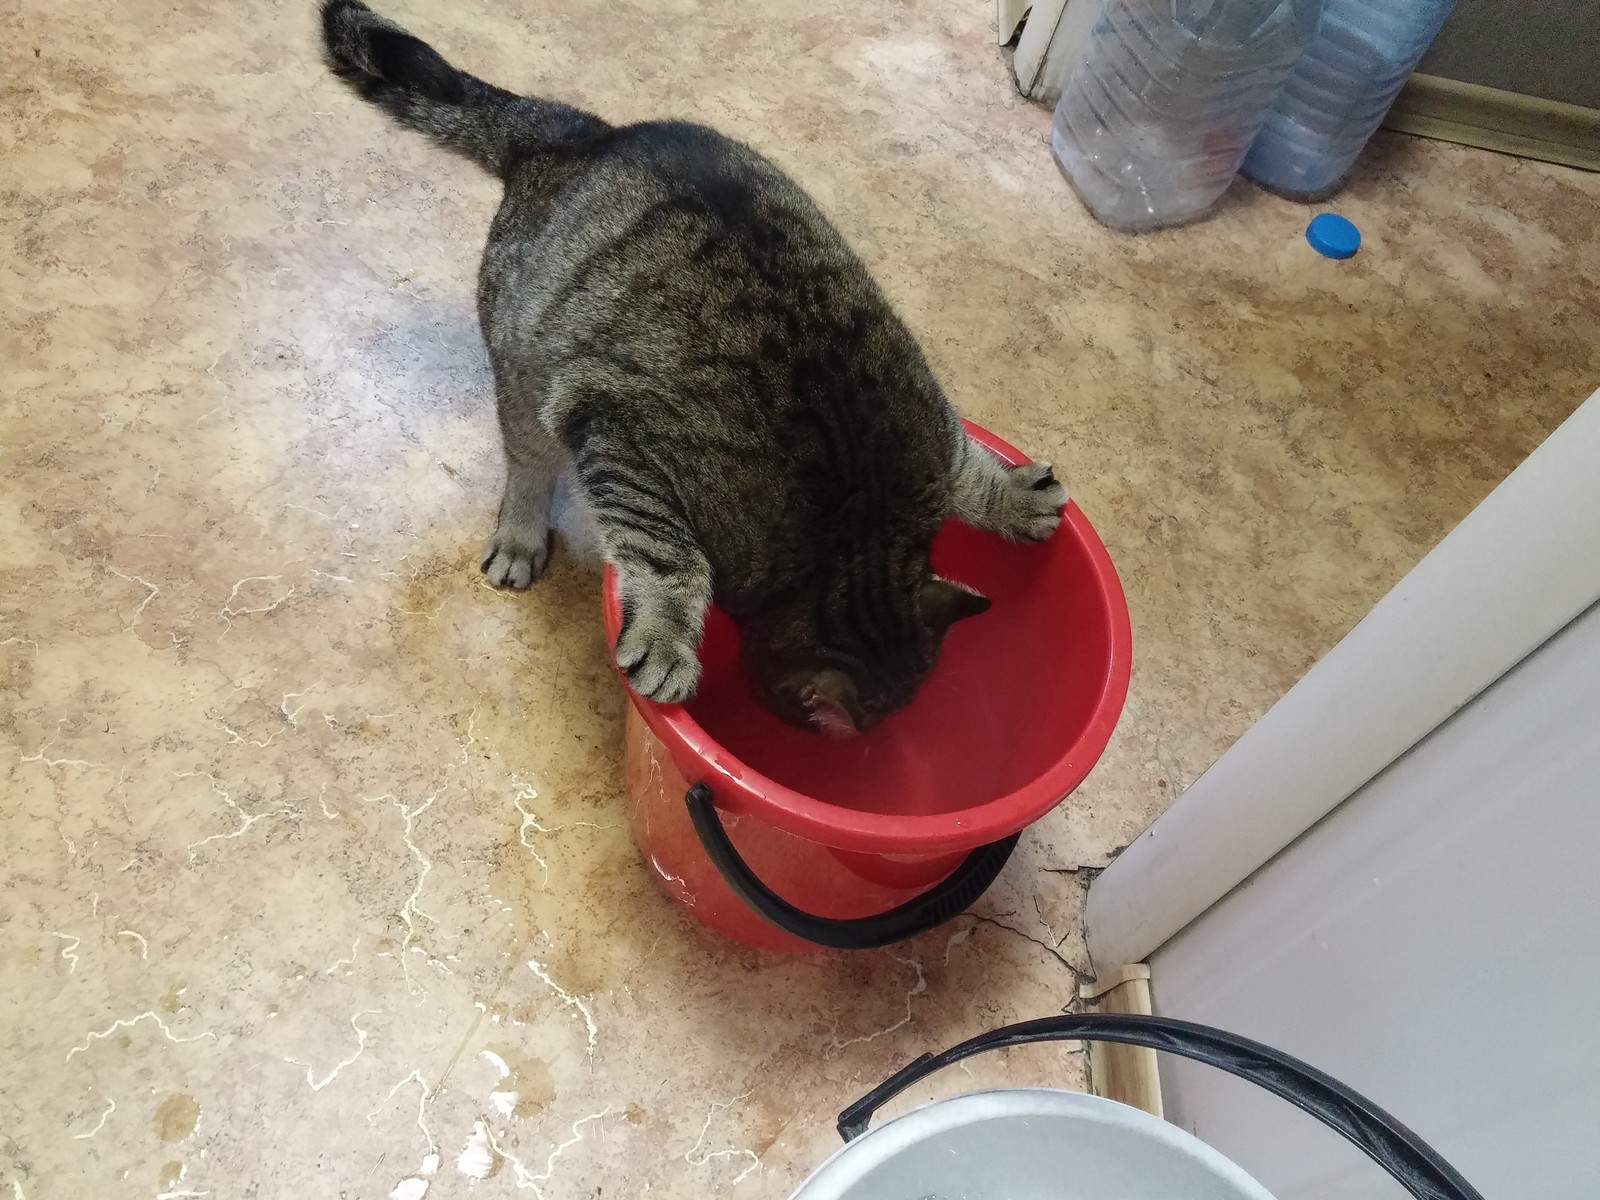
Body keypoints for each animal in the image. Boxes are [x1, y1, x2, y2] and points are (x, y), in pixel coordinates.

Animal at [313, 0, 1068, 739]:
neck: (861, 535)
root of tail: (579, 134)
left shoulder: (929, 418)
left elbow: (968, 462)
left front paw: (1011, 496)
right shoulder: (622, 439)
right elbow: (667, 554)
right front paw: (667, 637)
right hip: (528, 369)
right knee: (528, 461)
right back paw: (520, 536)